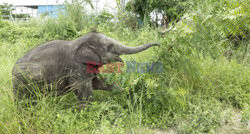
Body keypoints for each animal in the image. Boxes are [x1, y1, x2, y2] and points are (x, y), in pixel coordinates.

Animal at [12, 31, 158, 107]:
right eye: (110, 46)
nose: (158, 44)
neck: (79, 41)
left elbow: (99, 83)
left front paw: (128, 92)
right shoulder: (77, 67)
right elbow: (84, 88)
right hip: (23, 83)